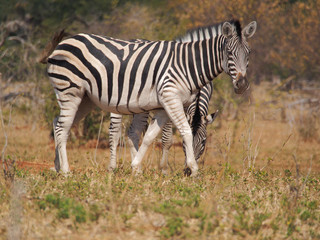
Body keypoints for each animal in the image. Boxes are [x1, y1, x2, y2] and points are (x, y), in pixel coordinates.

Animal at [42, 19, 258, 176]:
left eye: (248, 54)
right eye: (229, 52)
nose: (242, 85)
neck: (188, 64)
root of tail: (65, 41)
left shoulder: (166, 105)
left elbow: (149, 136)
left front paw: (136, 165)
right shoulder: (170, 98)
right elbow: (182, 132)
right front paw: (190, 169)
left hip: (85, 99)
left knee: (58, 123)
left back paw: (57, 166)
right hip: (73, 92)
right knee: (68, 128)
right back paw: (68, 171)